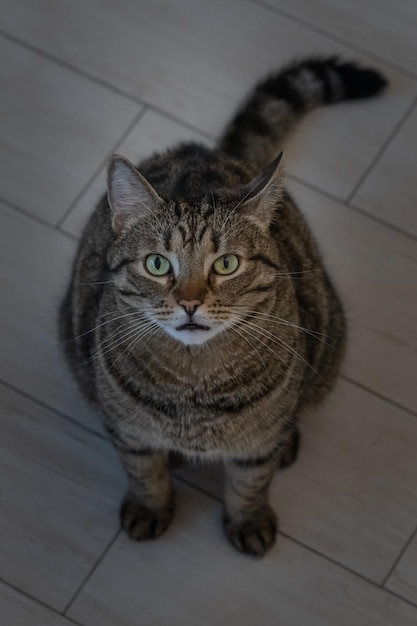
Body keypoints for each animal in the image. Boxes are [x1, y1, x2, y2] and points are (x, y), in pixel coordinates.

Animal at [60, 57, 386, 556]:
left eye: (227, 264)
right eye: (157, 263)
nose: (190, 302)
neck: (195, 386)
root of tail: (208, 150)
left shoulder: (258, 445)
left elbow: (250, 483)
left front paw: (248, 521)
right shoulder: (129, 433)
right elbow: (144, 472)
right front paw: (152, 507)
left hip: (329, 343)